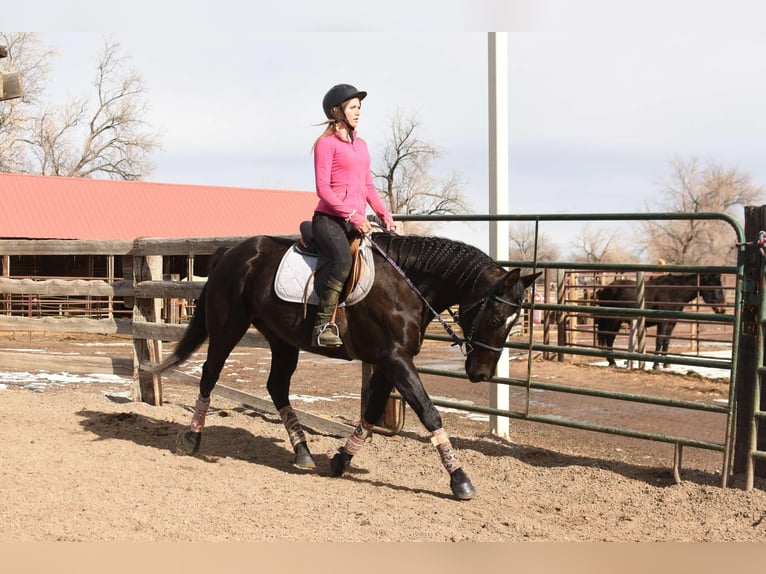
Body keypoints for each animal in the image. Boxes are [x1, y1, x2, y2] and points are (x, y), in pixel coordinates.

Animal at [150, 231, 540, 500]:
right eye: (496, 316)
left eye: (514, 322)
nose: (481, 374)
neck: (406, 285)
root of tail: (231, 254)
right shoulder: (396, 359)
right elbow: (429, 413)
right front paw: (460, 479)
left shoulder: (387, 361)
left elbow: (371, 411)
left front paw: (341, 460)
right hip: (227, 327)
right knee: (209, 374)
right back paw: (192, 438)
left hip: (282, 339)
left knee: (277, 386)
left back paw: (303, 452)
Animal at [594, 273, 727, 369]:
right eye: (715, 289)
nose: (723, 310)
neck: (674, 292)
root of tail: (604, 290)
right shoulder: (662, 322)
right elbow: (659, 341)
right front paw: (656, 365)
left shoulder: (672, 323)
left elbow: (666, 341)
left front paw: (666, 363)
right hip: (613, 320)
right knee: (609, 338)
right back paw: (612, 362)